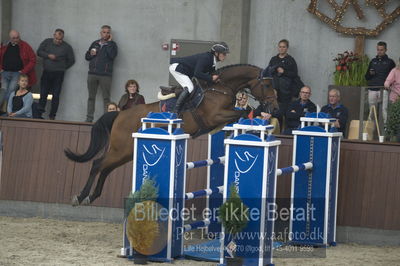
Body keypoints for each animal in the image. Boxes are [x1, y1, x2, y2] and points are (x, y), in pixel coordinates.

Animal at [65, 64, 276, 206]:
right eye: (267, 85)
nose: (274, 106)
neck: (221, 88)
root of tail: (119, 114)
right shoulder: (214, 116)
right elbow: (241, 112)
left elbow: (243, 111)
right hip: (121, 149)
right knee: (98, 164)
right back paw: (81, 197)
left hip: (126, 152)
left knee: (106, 168)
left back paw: (92, 196)